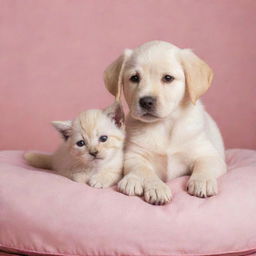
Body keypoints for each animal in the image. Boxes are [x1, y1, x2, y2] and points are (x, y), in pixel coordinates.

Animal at [103, 41, 227, 205]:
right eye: (134, 78)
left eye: (168, 78)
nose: (146, 101)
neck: (164, 125)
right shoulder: (134, 156)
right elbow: (144, 170)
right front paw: (157, 188)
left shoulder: (208, 154)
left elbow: (204, 166)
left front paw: (203, 181)